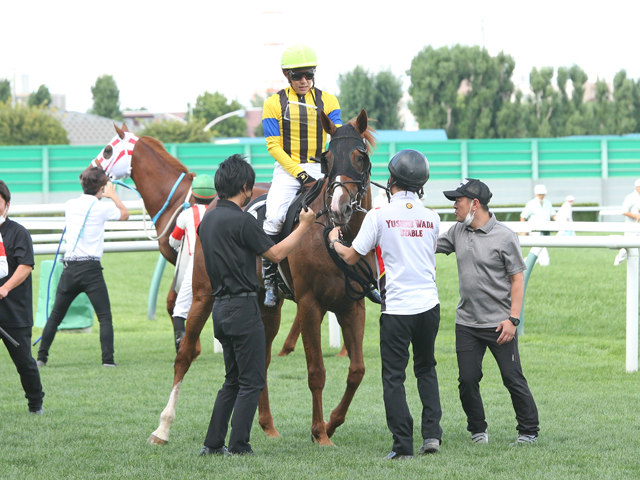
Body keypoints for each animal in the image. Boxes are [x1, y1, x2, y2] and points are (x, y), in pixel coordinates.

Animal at [148, 109, 377, 447]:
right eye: (327, 159)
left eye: (359, 157)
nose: (339, 207)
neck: (339, 238)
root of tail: (217, 201)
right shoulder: (310, 304)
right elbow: (316, 371)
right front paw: (319, 432)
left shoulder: (352, 304)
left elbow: (357, 370)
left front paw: (332, 423)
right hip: (203, 293)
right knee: (185, 354)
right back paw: (163, 427)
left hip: (267, 306)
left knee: (262, 358)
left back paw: (268, 425)